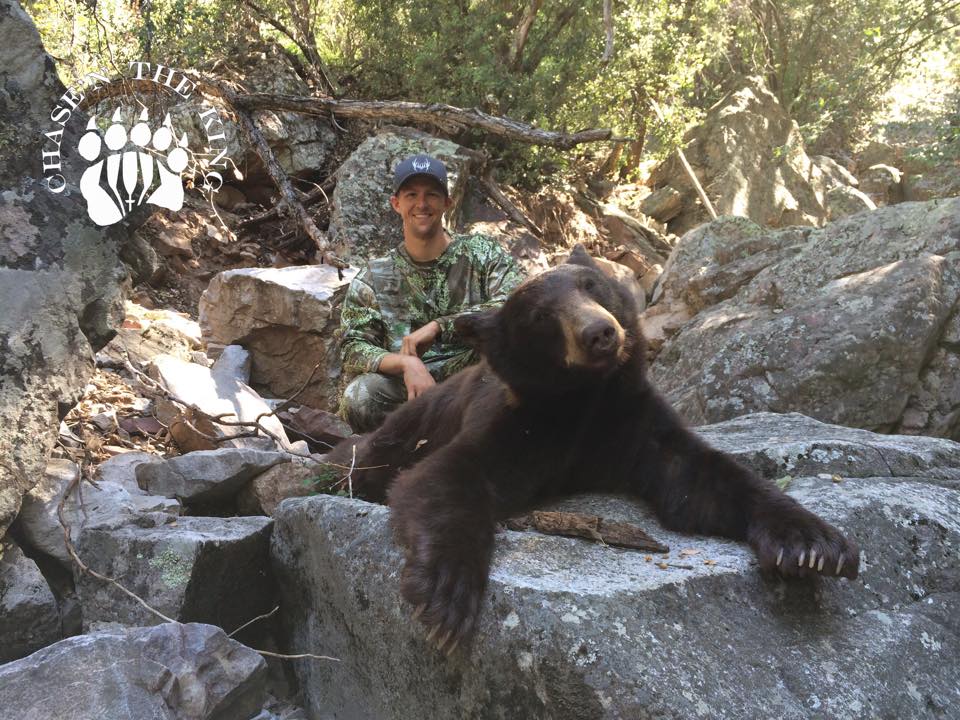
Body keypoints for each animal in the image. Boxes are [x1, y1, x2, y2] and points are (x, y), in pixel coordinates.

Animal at [326, 245, 860, 654]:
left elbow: (700, 479)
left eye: (591, 286)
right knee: (368, 460)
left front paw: (813, 544)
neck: (586, 398)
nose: (599, 333)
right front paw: (447, 592)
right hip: (399, 432)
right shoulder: (518, 424)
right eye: (541, 315)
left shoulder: (632, 422)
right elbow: (443, 476)